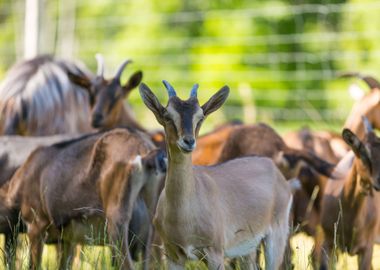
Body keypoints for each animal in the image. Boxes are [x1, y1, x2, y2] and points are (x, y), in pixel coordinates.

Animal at [139, 80, 290, 270]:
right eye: (167, 116)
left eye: (200, 117)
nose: (188, 141)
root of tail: (274, 170)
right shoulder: (173, 254)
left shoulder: (215, 253)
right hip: (247, 248)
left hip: (276, 235)